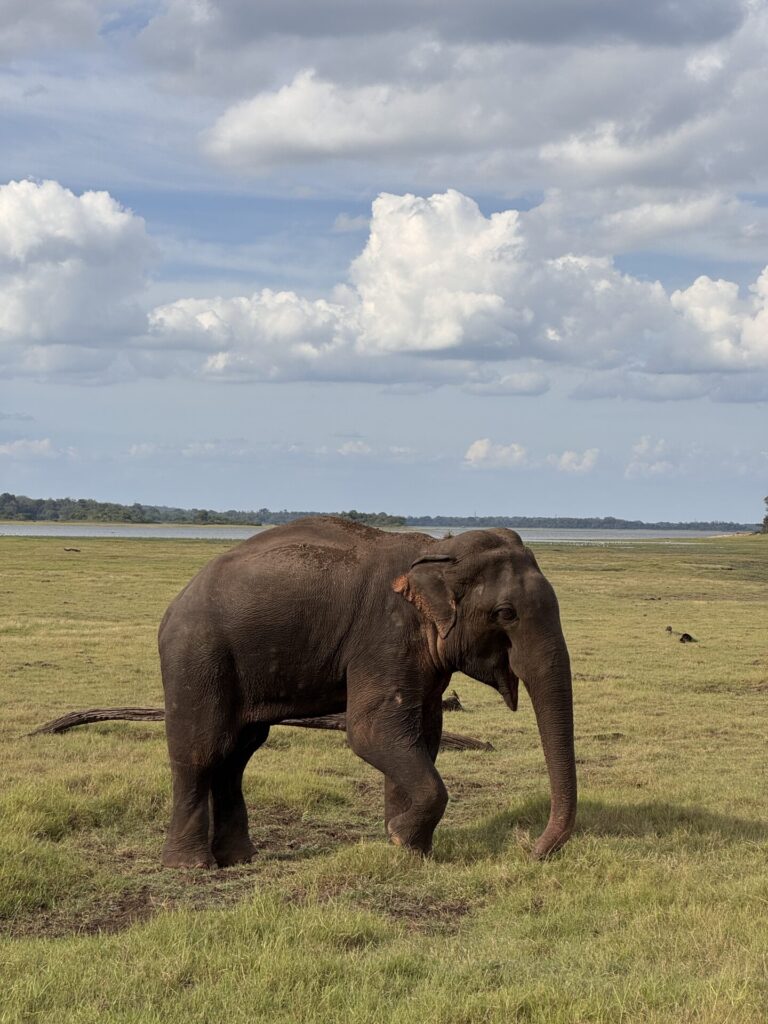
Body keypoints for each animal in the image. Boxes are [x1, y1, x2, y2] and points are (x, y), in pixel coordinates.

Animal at [159, 516, 576, 868]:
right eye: (506, 614)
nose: (533, 851)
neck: (438, 548)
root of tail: (176, 602)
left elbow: (423, 732)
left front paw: (408, 848)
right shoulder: (385, 635)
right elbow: (373, 731)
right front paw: (402, 837)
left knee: (238, 753)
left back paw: (240, 858)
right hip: (197, 657)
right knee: (202, 751)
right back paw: (191, 866)